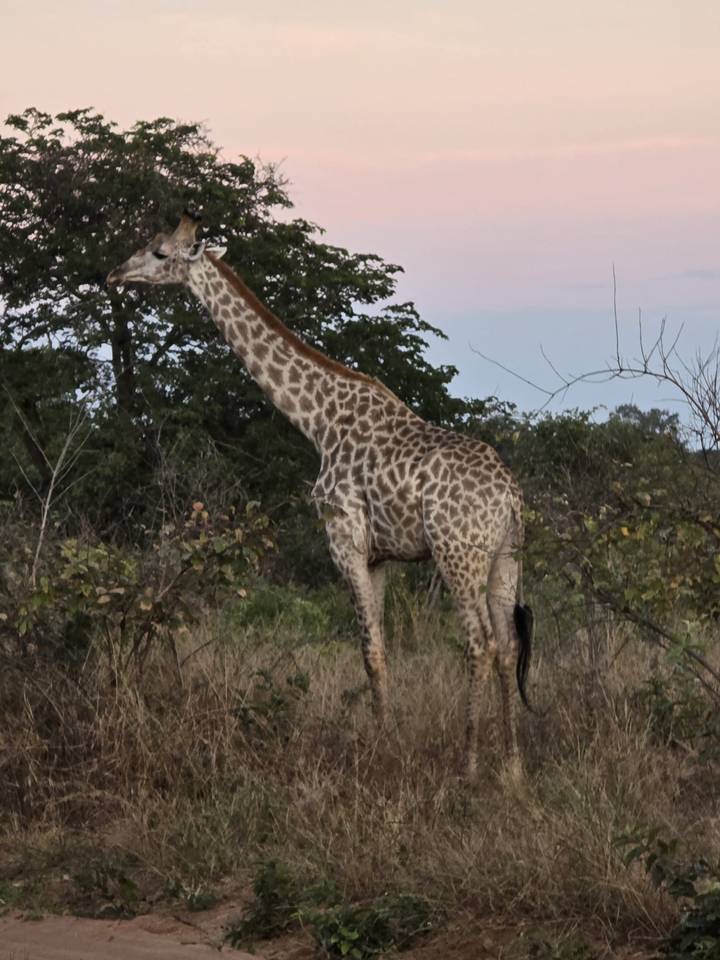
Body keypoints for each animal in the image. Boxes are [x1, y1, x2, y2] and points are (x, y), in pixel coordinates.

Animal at [107, 212, 533, 778]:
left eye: (157, 252)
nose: (114, 274)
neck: (319, 421)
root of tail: (509, 497)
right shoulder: (379, 555)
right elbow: (381, 648)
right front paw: (390, 738)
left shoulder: (344, 539)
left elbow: (368, 651)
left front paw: (383, 749)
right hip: (506, 555)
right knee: (508, 646)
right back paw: (512, 768)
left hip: (457, 554)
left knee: (480, 644)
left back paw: (469, 765)